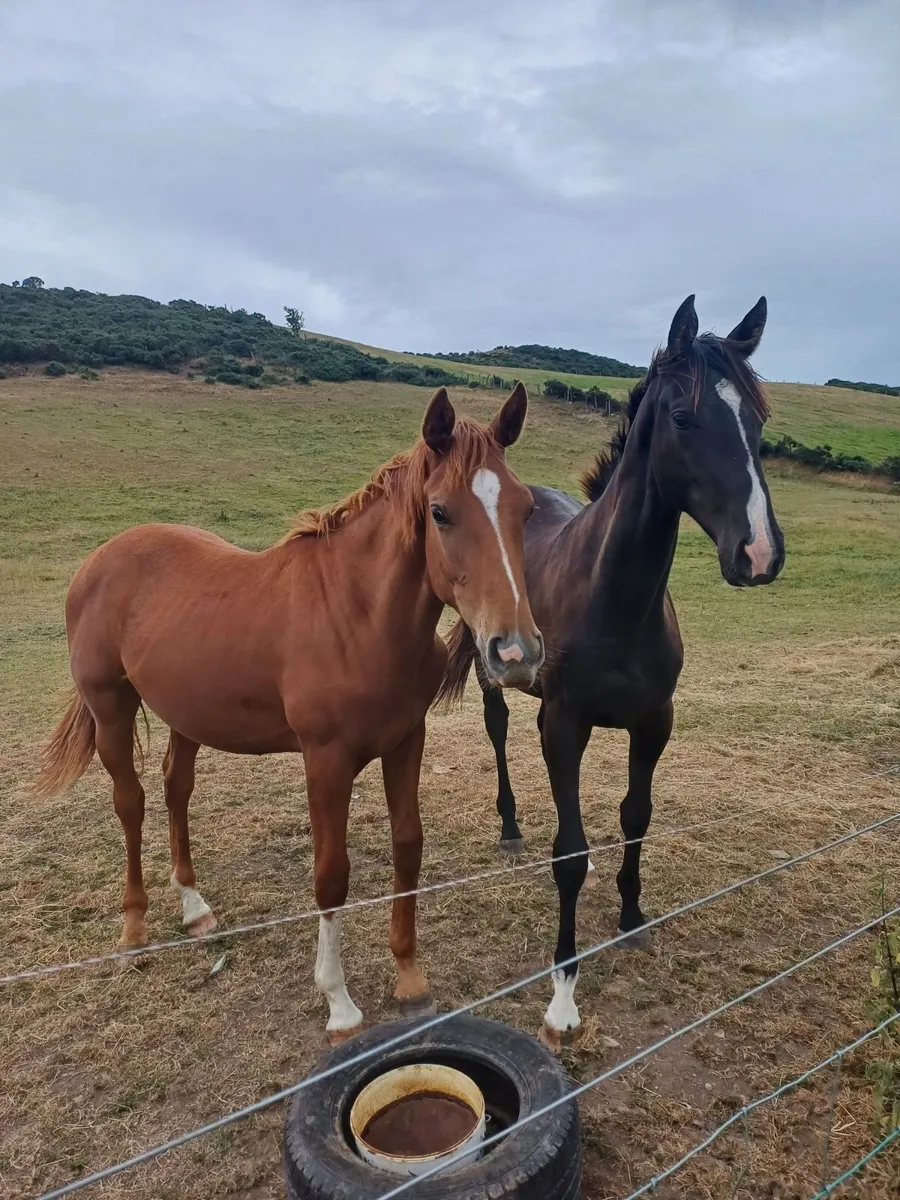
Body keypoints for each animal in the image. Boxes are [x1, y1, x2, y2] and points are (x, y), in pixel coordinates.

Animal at [35, 385, 544, 1044]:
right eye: (439, 512)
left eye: (526, 509)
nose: (516, 652)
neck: (357, 616)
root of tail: (100, 560)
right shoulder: (325, 760)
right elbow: (331, 874)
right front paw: (340, 1005)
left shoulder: (407, 741)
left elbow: (408, 846)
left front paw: (410, 980)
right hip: (111, 709)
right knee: (131, 802)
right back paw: (134, 932)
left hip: (186, 716)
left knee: (176, 789)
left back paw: (195, 910)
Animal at [435, 296, 785, 1049]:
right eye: (683, 417)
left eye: (758, 420)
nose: (759, 553)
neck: (616, 597)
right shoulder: (563, 724)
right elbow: (569, 854)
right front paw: (563, 992)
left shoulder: (653, 724)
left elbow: (636, 816)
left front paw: (630, 919)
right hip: (494, 673)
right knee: (497, 731)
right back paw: (510, 827)